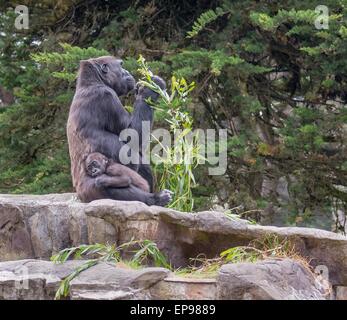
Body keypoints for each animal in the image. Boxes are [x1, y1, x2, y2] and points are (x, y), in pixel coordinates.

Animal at [66, 56, 172, 206]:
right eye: (121, 66)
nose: (126, 71)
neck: (91, 82)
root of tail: (79, 197)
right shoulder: (106, 96)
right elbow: (133, 135)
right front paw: (150, 88)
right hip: (89, 193)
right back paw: (155, 199)